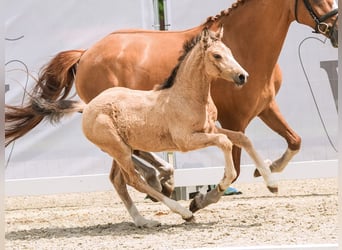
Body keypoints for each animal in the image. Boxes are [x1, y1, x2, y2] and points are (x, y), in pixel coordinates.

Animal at [33, 27, 276, 229]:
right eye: (217, 55)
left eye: (230, 52)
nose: (242, 76)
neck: (186, 97)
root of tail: (88, 107)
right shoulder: (187, 140)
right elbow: (226, 144)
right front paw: (217, 188)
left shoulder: (210, 129)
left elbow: (242, 138)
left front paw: (271, 183)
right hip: (119, 149)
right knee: (134, 181)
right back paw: (182, 212)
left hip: (120, 150)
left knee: (119, 181)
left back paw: (142, 220)